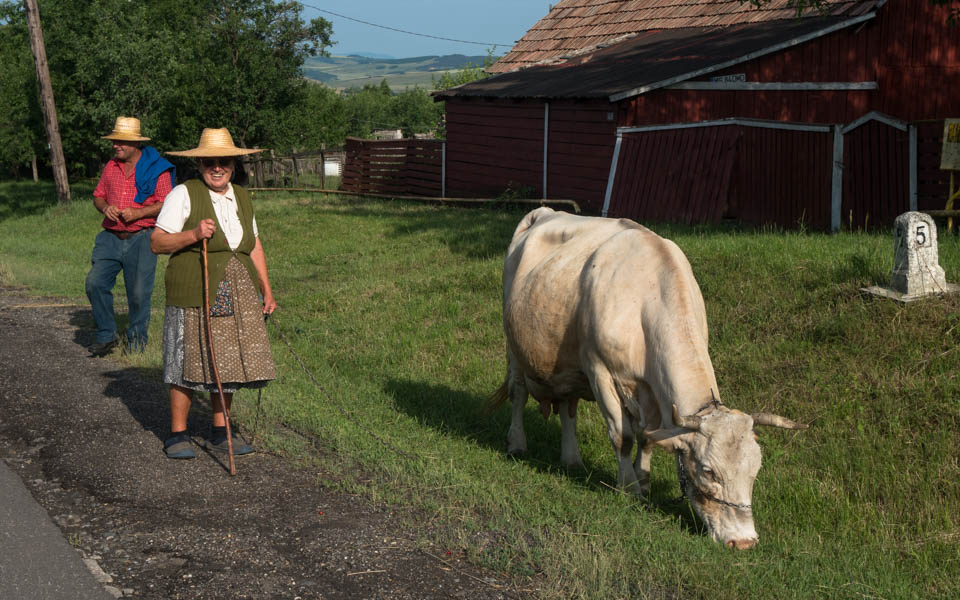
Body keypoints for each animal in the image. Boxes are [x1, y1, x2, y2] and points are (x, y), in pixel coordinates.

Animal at [492, 209, 808, 552]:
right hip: (515, 345)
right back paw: (517, 444)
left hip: (566, 366)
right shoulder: (598, 368)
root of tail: (546, 212)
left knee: (568, 407)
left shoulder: (652, 393)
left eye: (755, 471)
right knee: (519, 393)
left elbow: (647, 437)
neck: (646, 298)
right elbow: (623, 436)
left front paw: (643, 483)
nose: (744, 542)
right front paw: (627, 486)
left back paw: (572, 459)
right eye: (709, 471)